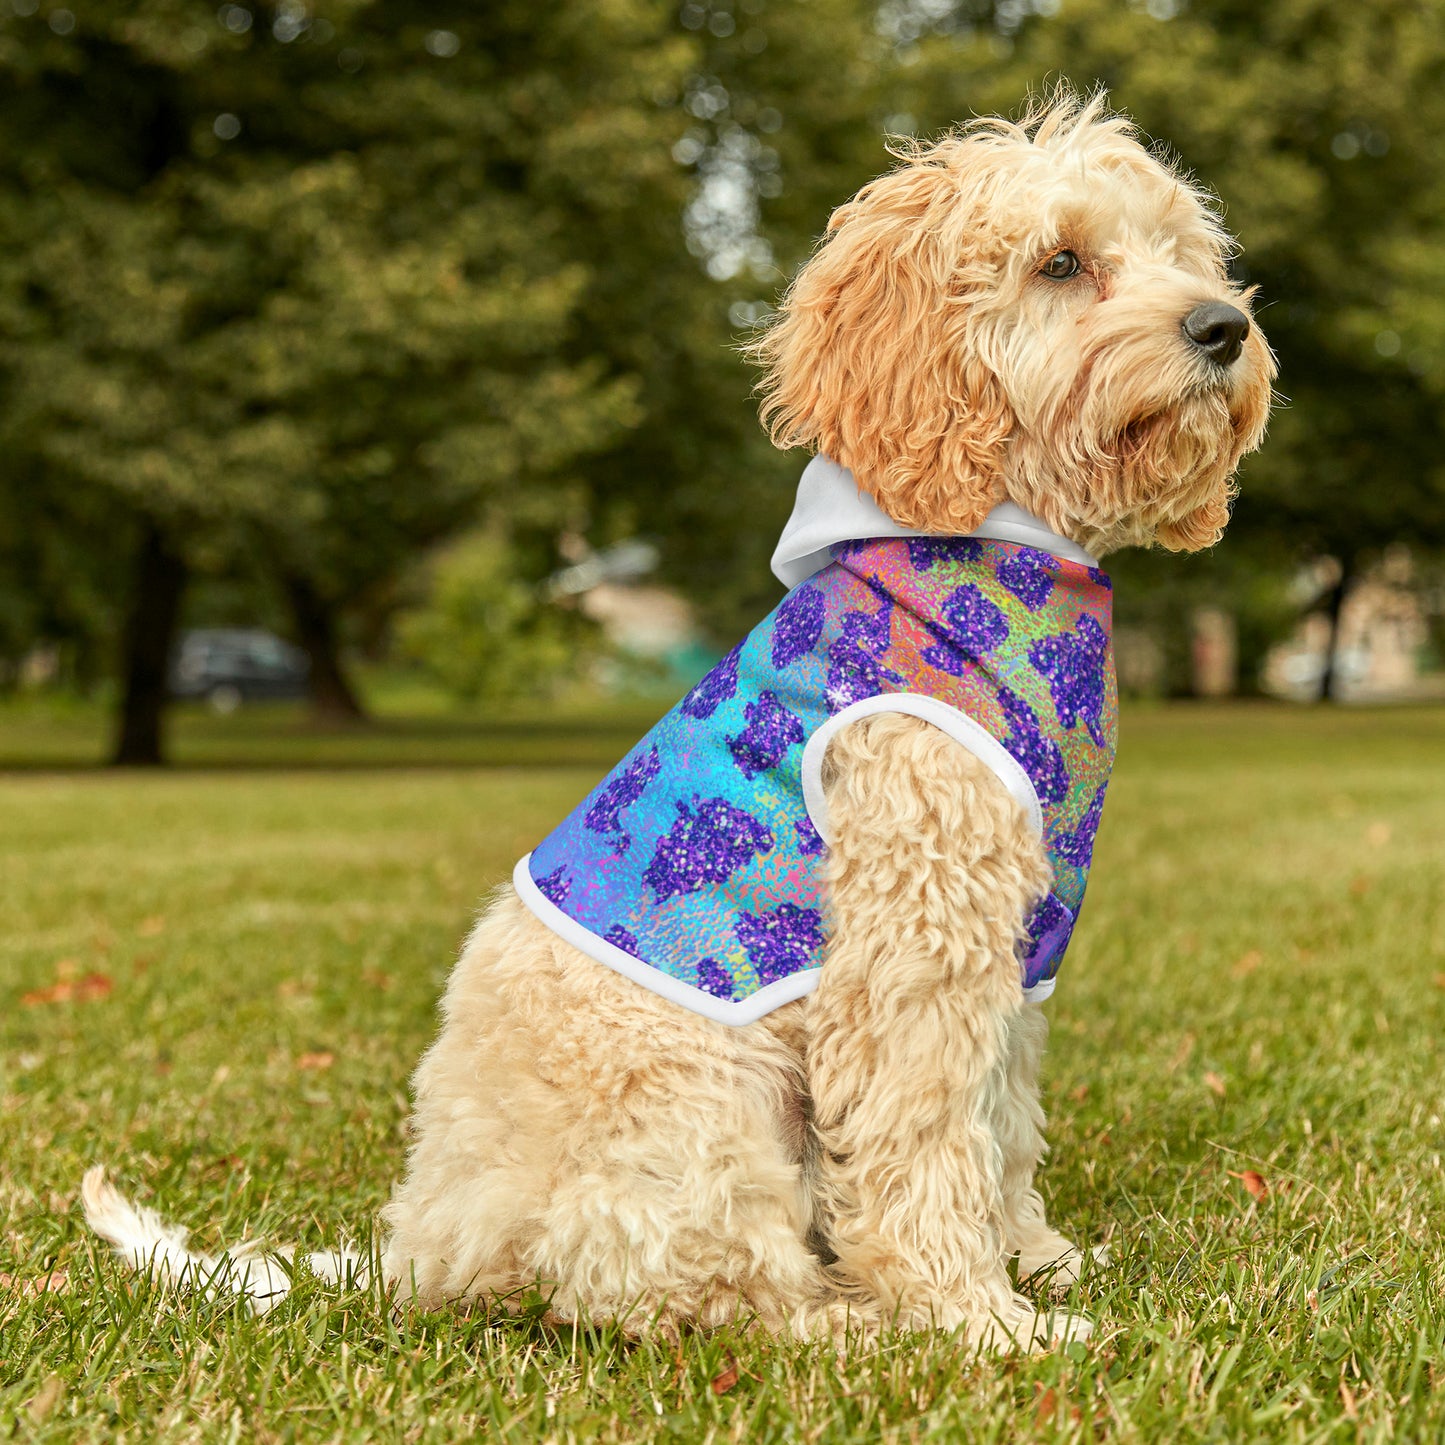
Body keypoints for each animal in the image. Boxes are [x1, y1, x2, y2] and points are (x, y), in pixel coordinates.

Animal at [84, 96, 1271, 1346]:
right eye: (1060, 262)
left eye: (1181, 253)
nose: (1222, 326)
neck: (994, 548)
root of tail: (423, 1247)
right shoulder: (912, 936)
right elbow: (924, 1138)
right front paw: (976, 1319)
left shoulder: (1015, 945)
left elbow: (1000, 1121)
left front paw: (1034, 1259)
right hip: (704, 1106)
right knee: (702, 1288)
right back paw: (848, 1319)